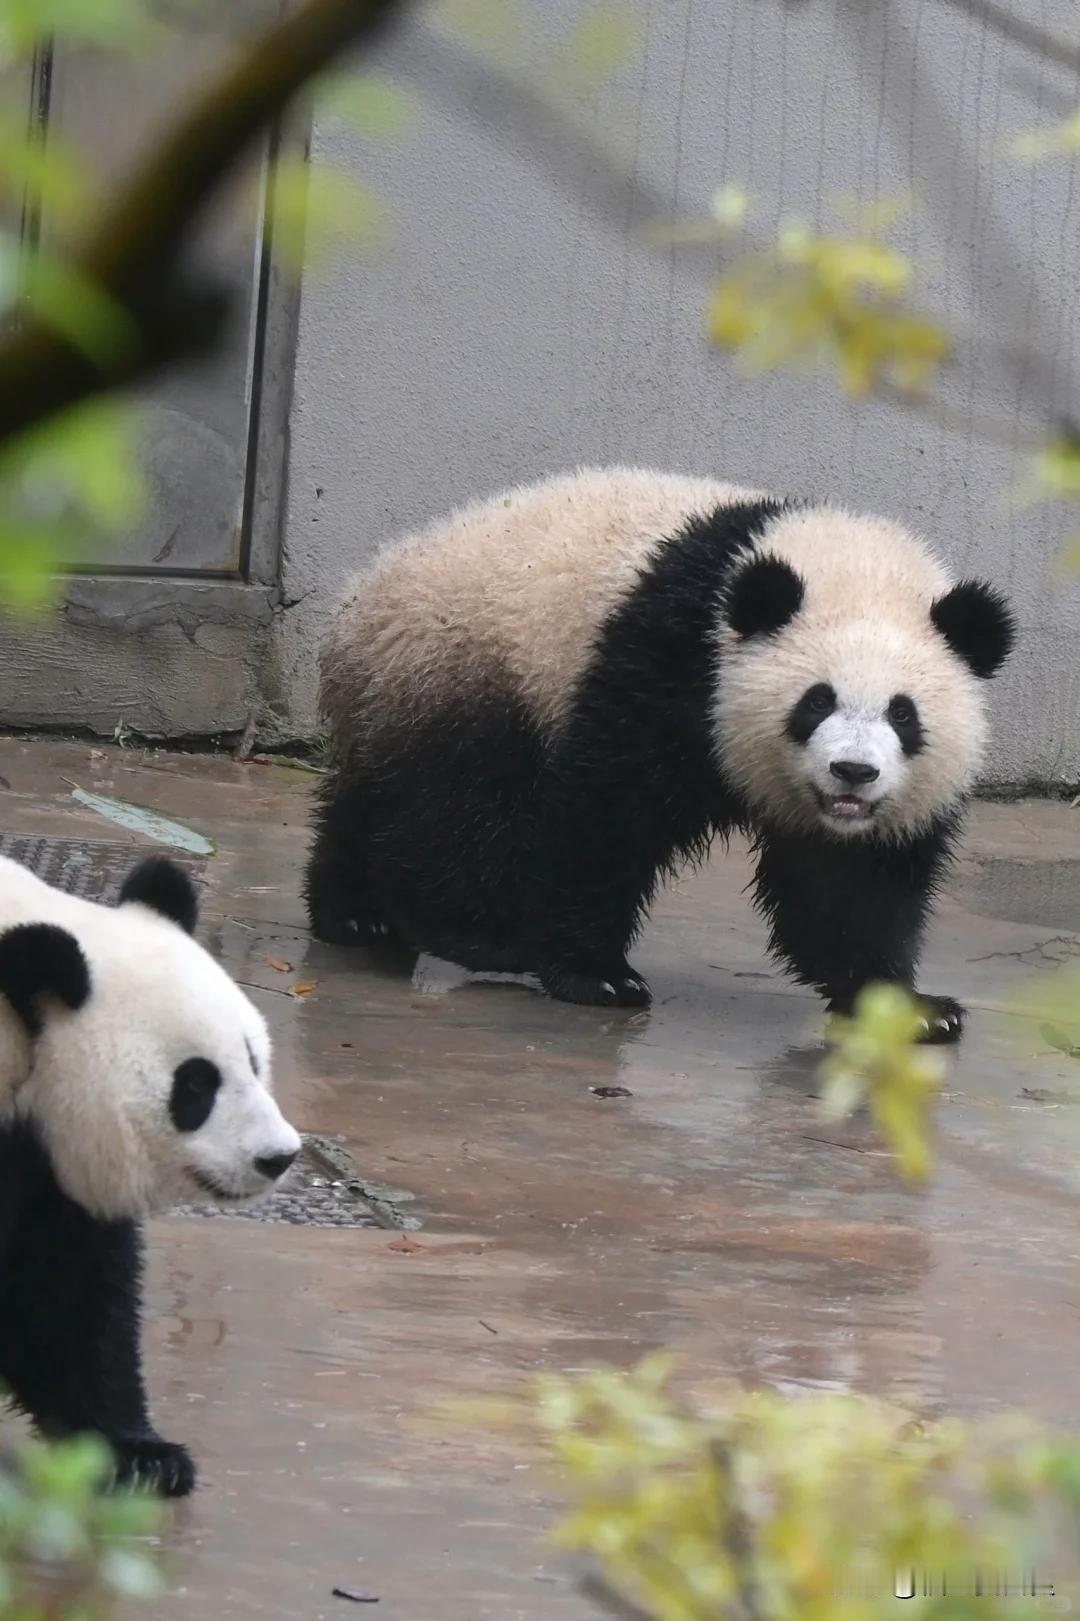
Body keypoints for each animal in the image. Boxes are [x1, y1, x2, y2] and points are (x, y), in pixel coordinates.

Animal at [2, 855, 303, 1497]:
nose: (278, 1157)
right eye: (194, 1085)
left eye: (252, 1058)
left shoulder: (42, 1160)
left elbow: (63, 1293)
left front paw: (140, 1456)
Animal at [304, 466, 1011, 1050]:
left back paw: (355, 914)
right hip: (475, 668)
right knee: (463, 807)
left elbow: (850, 885)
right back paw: (472, 932)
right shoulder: (667, 660)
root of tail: (353, 610)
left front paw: (909, 1009)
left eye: (903, 714)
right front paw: (594, 973)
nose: (854, 773)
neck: (846, 566)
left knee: (376, 797)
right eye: (816, 702)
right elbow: (603, 813)